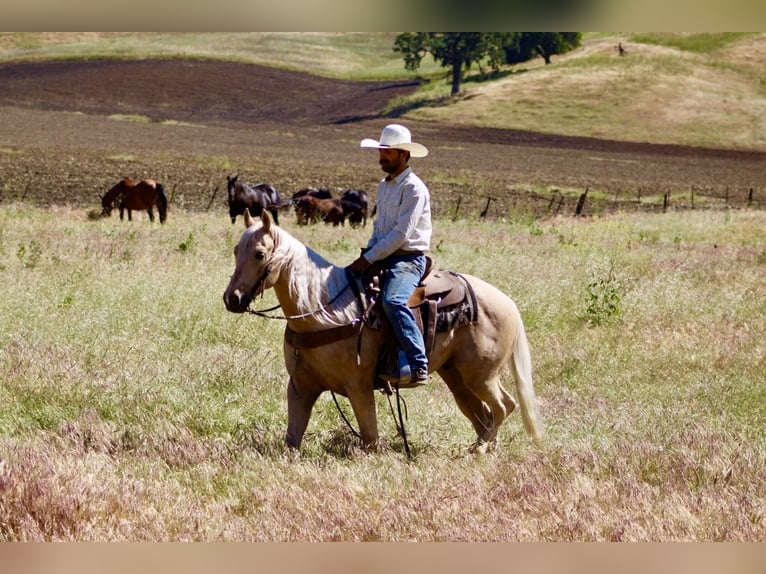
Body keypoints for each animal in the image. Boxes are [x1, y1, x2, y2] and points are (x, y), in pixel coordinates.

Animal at [223, 209, 545, 454]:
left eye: (260, 254)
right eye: (237, 250)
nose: (232, 298)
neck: (325, 307)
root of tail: (507, 302)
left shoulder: (359, 387)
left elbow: (370, 438)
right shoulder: (301, 386)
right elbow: (292, 438)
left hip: (481, 375)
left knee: (504, 406)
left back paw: (480, 451)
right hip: (456, 376)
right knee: (482, 413)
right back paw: (481, 448)